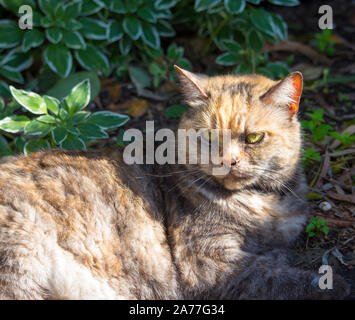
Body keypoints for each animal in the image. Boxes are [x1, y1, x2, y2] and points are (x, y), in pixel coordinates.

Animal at [0, 65, 350, 300]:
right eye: (209, 136)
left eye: (253, 138)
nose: (228, 160)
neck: (264, 203)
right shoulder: (209, 262)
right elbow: (277, 278)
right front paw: (339, 284)